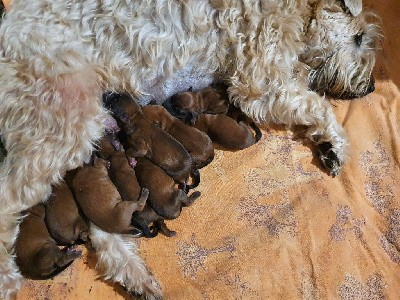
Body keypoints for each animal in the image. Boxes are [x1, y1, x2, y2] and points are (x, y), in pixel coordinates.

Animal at [0, 0, 378, 298]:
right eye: (359, 37)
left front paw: (327, 145)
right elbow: (317, 105)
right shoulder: (261, 83)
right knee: (10, 200)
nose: (371, 87)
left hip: (83, 133)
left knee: (103, 220)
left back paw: (136, 277)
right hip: (61, 123)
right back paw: (9, 280)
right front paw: (335, 143)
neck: (299, 14)